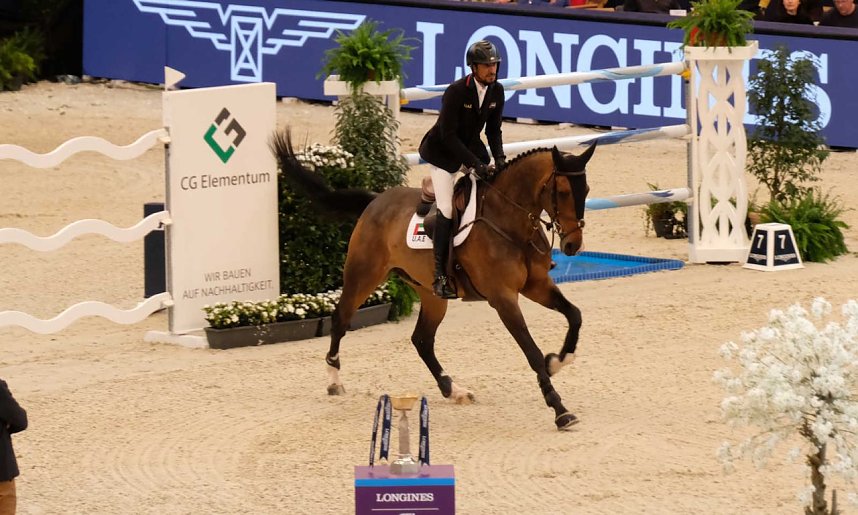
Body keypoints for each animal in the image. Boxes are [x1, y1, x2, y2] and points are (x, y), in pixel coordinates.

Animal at [272, 131, 597, 430]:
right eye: (563, 192)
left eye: (586, 189)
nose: (572, 245)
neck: (510, 221)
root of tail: (376, 200)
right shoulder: (503, 297)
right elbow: (531, 351)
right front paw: (560, 410)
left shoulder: (536, 285)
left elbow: (575, 315)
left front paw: (558, 360)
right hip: (364, 274)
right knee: (341, 319)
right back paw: (334, 380)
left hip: (430, 292)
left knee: (422, 340)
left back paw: (454, 390)